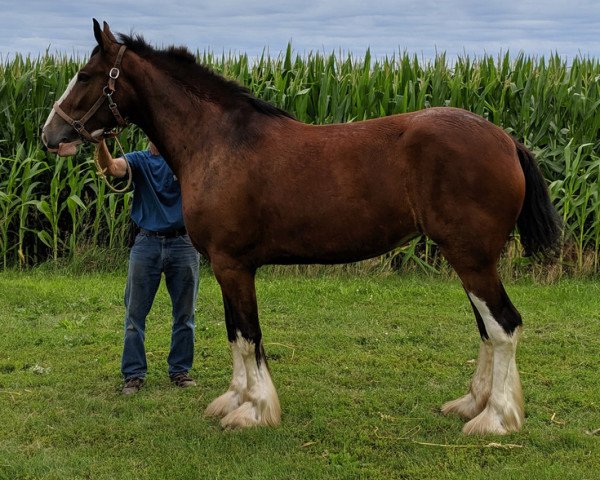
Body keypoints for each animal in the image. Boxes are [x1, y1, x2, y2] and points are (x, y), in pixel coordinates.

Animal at [42, 20, 564, 436]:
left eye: (85, 76)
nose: (51, 134)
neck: (218, 142)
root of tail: (506, 140)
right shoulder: (224, 268)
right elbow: (234, 334)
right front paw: (233, 402)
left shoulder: (234, 265)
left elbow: (248, 335)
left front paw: (254, 411)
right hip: (469, 259)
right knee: (487, 329)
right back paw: (472, 405)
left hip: (471, 257)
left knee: (503, 326)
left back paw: (494, 419)